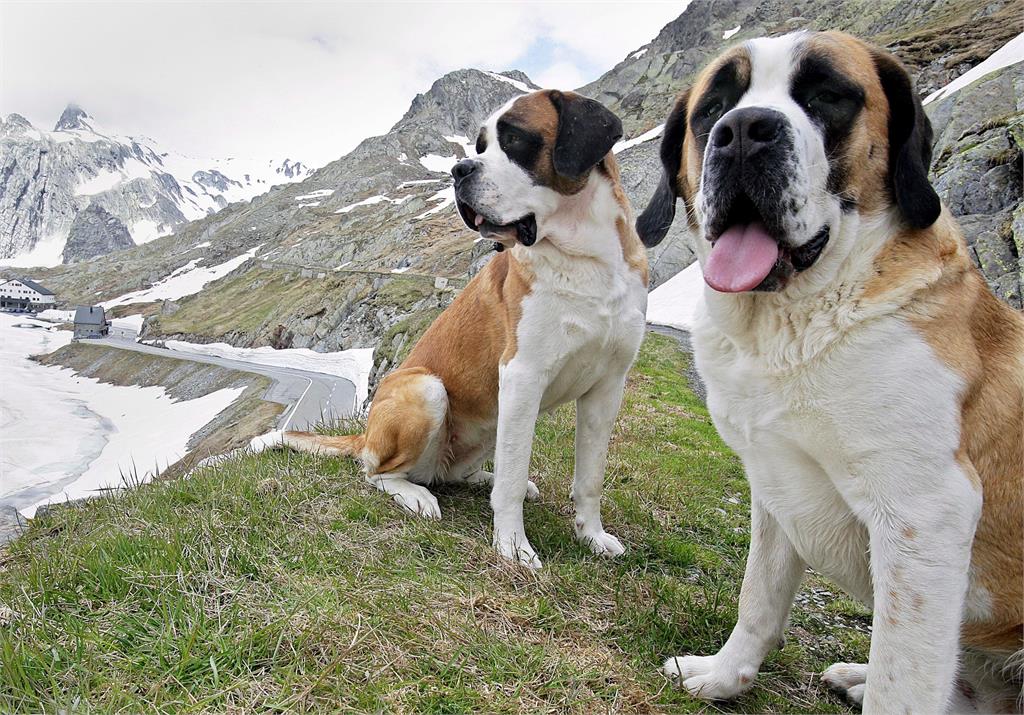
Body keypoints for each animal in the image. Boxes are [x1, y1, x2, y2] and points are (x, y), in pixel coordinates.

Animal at [260, 89, 651, 569]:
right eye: (480, 146)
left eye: (514, 138)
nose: (460, 170)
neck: (587, 258)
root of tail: (366, 435)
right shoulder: (522, 377)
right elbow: (513, 477)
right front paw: (513, 548)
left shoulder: (607, 387)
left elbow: (590, 477)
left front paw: (592, 536)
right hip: (426, 390)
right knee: (376, 473)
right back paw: (417, 496)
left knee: (456, 472)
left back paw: (481, 479)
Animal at [634, 30, 1019, 708]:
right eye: (714, 109)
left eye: (826, 96)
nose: (743, 131)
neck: (789, 327)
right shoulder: (774, 481)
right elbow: (759, 596)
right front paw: (723, 676)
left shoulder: (925, 512)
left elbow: (903, 679)